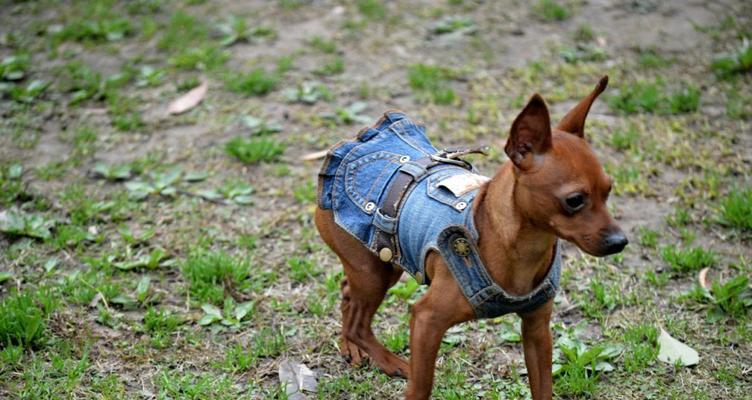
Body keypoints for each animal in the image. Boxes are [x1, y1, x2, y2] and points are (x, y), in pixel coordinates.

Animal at [314, 76, 624, 398]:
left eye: (608, 190)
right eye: (574, 200)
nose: (620, 242)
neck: (517, 247)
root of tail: (354, 145)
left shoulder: (537, 330)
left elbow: (543, 388)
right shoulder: (427, 320)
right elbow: (421, 385)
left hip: (381, 267)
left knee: (348, 293)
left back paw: (353, 348)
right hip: (372, 271)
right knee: (358, 323)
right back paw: (388, 360)